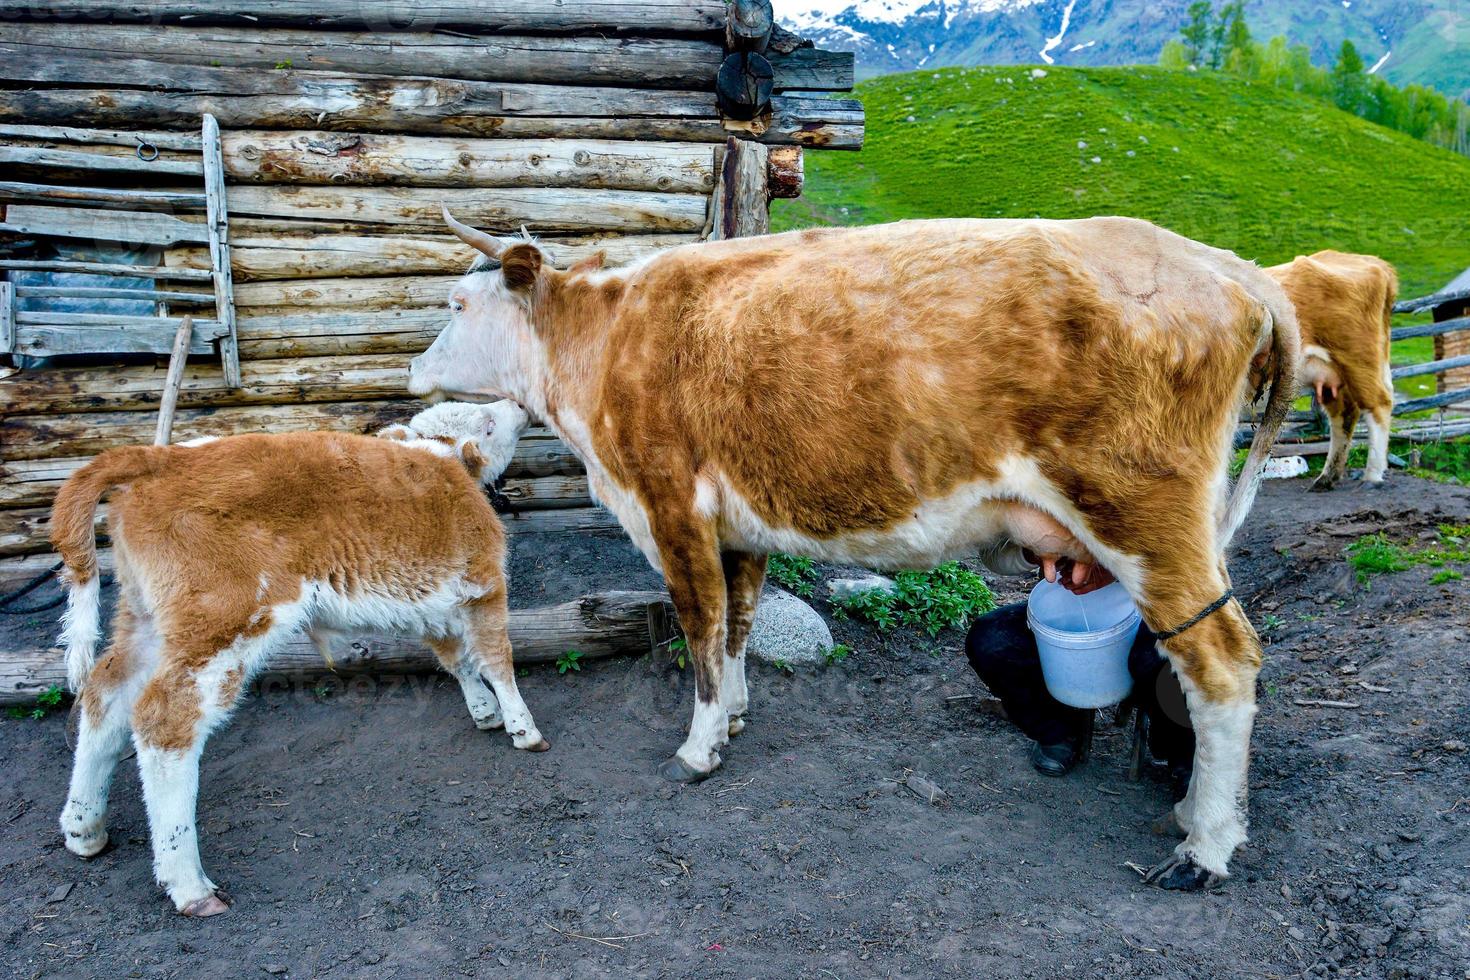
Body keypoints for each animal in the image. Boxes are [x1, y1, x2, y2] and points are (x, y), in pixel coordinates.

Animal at [55, 399, 546, 922]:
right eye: (488, 424)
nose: (518, 404)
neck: (439, 457)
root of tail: (157, 458)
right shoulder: (484, 580)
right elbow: (497, 658)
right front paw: (522, 727)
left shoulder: (437, 599)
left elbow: (455, 656)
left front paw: (484, 711)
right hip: (223, 623)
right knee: (164, 718)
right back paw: (189, 885)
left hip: (147, 619)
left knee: (105, 694)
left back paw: (84, 828)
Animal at [414, 213, 1299, 887]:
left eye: (456, 302)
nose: (415, 368)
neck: (602, 348)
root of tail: (1224, 266)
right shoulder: (740, 526)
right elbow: (739, 625)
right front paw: (735, 718)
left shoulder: (671, 507)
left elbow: (700, 630)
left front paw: (698, 750)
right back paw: (1195, 812)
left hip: (1144, 513)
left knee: (1222, 662)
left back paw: (1205, 848)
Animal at [1264, 249, 1399, 487]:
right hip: (1330, 373)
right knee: (1345, 413)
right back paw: (1328, 476)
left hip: (1359, 360)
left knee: (1378, 404)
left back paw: (1372, 475)